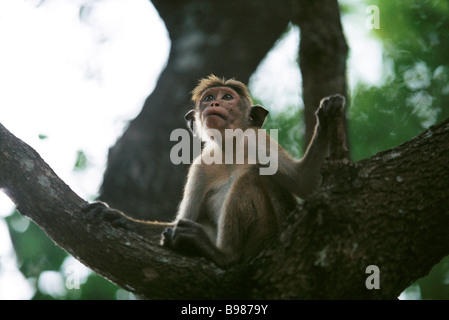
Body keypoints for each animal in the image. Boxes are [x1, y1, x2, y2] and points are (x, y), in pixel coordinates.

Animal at [83, 75, 344, 270]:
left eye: (227, 97)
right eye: (209, 98)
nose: (213, 104)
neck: (229, 149)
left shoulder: (259, 141)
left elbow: (305, 183)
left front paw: (327, 117)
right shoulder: (200, 167)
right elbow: (183, 219)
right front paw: (117, 217)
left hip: (264, 238)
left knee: (247, 180)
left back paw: (223, 254)